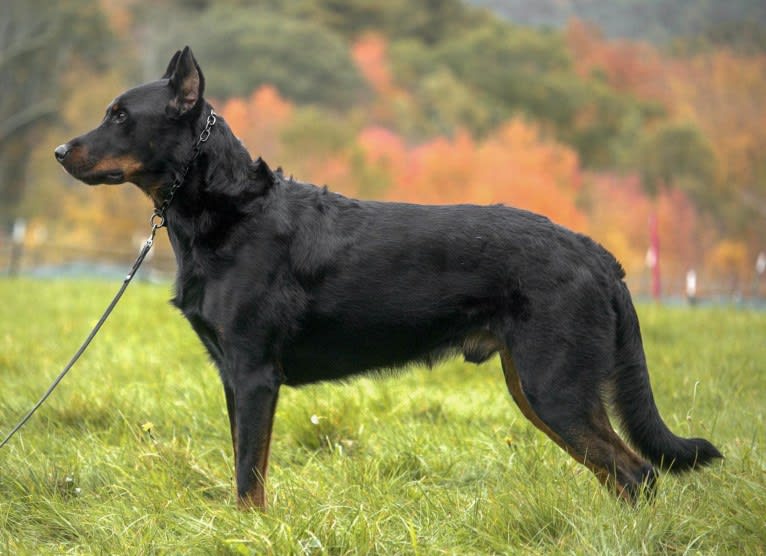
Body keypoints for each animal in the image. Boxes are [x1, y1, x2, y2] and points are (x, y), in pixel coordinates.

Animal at [57, 47, 724, 508]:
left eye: (120, 115)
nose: (60, 152)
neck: (229, 210)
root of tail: (596, 254)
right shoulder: (232, 379)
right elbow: (245, 471)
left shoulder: (254, 376)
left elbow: (250, 479)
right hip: (536, 388)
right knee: (624, 474)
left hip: (554, 388)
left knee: (636, 471)